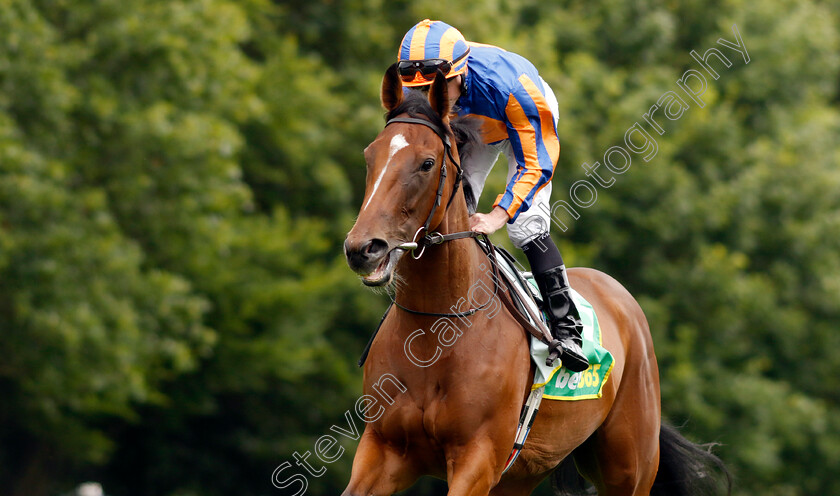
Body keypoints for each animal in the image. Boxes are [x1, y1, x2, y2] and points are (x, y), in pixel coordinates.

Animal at [342, 67, 728, 496]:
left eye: (427, 163)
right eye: (369, 156)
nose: (364, 248)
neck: (436, 330)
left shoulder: (478, 458)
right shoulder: (383, 450)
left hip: (629, 466)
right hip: (521, 476)